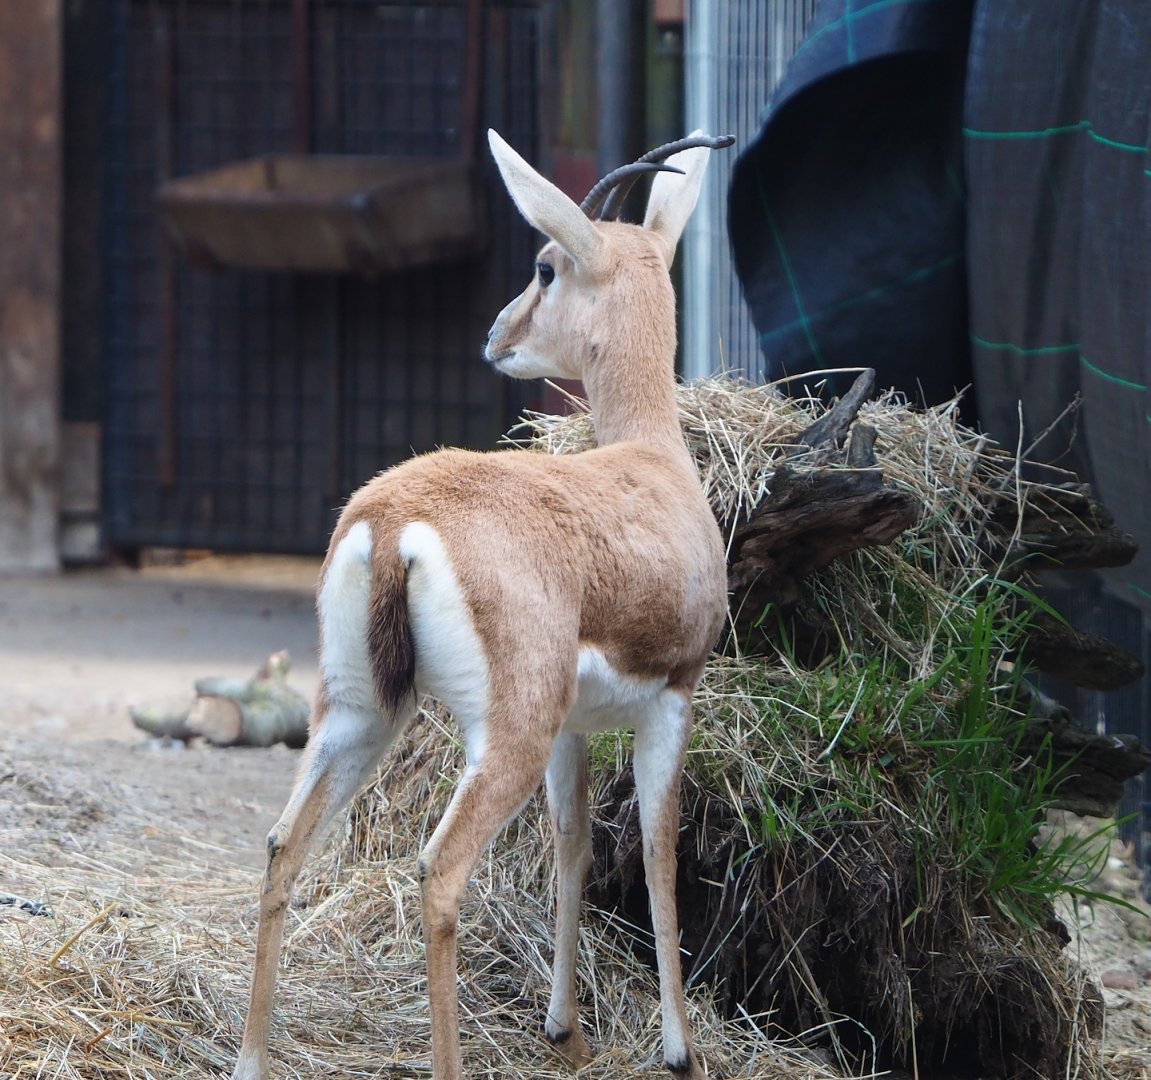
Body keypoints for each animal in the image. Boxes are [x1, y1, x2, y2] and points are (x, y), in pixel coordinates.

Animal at [231, 128, 732, 1080]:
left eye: (542, 268)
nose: (496, 336)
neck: (652, 465)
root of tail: (395, 519)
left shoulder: (573, 728)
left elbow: (574, 843)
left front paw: (565, 1030)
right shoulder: (670, 698)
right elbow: (658, 849)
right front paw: (679, 1050)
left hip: (360, 714)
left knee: (282, 845)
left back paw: (251, 1059)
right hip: (500, 737)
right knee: (439, 870)